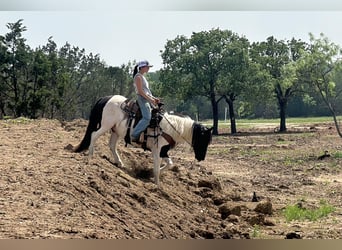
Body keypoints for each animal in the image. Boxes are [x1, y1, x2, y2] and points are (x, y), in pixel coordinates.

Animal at [73, 94, 211, 187]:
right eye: (203, 140)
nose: (201, 158)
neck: (170, 128)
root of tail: (106, 98)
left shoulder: (163, 151)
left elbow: (170, 164)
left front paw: (150, 174)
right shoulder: (157, 151)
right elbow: (157, 168)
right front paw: (157, 185)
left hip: (115, 131)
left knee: (111, 145)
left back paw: (119, 162)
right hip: (106, 125)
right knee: (94, 135)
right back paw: (90, 156)